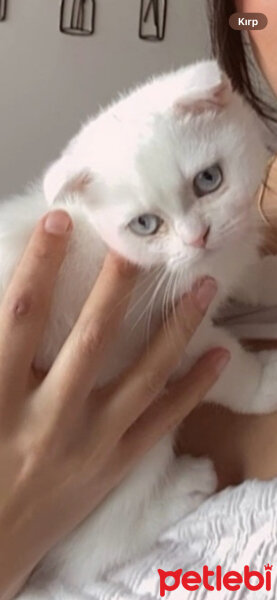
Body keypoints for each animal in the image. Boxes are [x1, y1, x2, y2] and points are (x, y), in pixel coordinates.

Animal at [2, 61, 276, 596]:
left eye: (208, 180)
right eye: (146, 225)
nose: (197, 237)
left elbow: (240, 271)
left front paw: (266, 275)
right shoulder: (155, 342)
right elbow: (227, 365)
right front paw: (264, 382)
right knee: (87, 555)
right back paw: (186, 486)